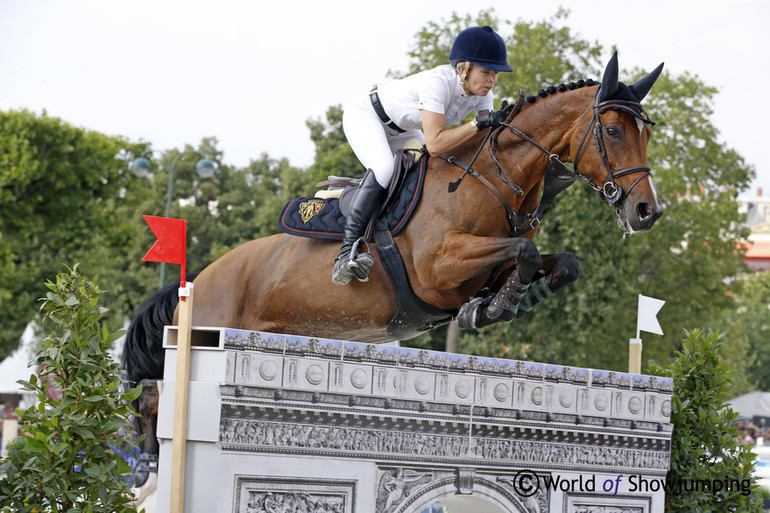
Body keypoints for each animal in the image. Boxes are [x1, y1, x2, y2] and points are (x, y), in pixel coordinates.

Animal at [123, 52, 664, 488]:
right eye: (612, 131)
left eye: (646, 132)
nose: (647, 212)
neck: (492, 179)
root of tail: (198, 279)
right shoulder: (440, 269)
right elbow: (524, 251)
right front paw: (494, 307)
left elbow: (557, 261)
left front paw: (505, 302)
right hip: (204, 333)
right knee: (154, 394)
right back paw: (148, 464)